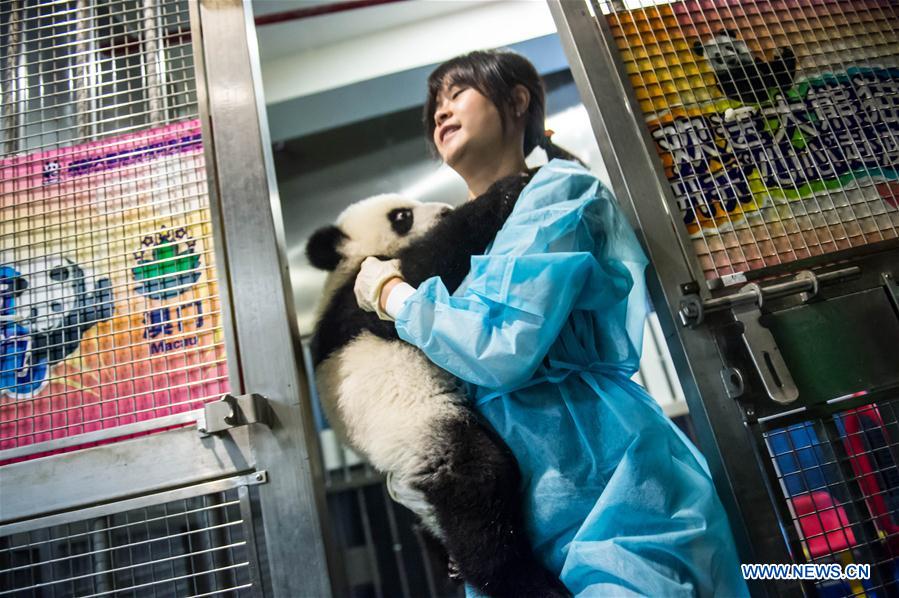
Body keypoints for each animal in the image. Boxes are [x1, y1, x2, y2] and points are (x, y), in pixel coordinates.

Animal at [305, 169, 570, 598]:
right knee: (477, 489)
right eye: (402, 216)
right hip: (425, 430)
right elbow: (423, 269)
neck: (344, 267)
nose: (445, 208)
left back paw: (450, 563)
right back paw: (521, 580)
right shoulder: (352, 305)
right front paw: (509, 187)